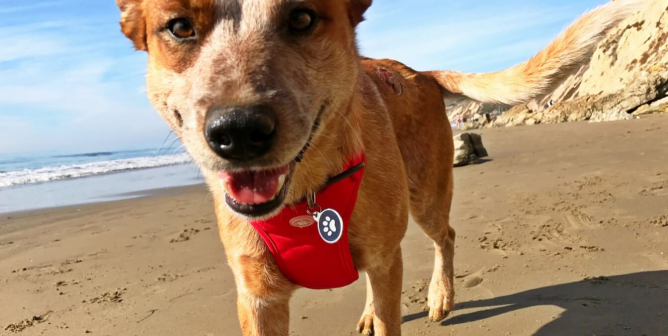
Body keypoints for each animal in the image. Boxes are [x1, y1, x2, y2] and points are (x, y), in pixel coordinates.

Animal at [117, 1, 644, 334]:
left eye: (302, 17)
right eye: (179, 27)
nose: (238, 131)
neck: (307, 194)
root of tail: (421, 73)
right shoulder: (258, 297)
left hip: (425, 196)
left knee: (444, 236)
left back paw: (440, 296)